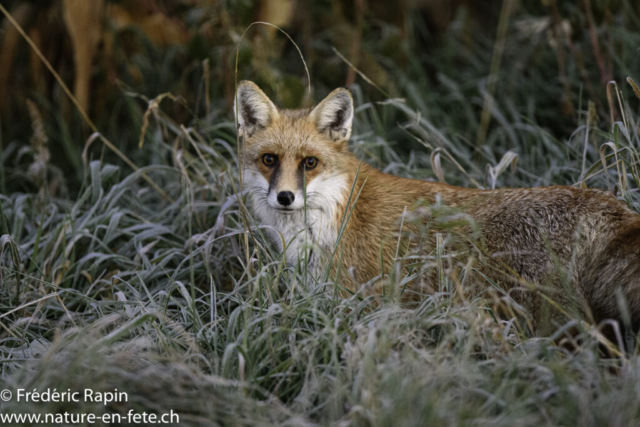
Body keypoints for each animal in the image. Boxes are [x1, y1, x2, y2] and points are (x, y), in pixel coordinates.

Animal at [238, 80, 640, 334]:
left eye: (310, 163)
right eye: (270, 160)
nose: (285, 197)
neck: (335, 217)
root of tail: (609, 203)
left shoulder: (362, 302)